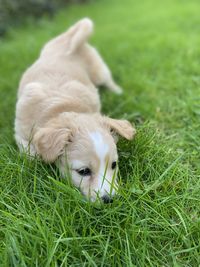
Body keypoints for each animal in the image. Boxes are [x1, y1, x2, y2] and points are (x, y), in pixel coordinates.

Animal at [14, 18, 136, 203]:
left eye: (114, 165)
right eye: (83, 171)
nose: (109, 200)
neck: (63, 107)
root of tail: (70, 41)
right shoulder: (20, 131)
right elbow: (31, 155)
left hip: (99, 71)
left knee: (108, 81)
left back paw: (118, 92)